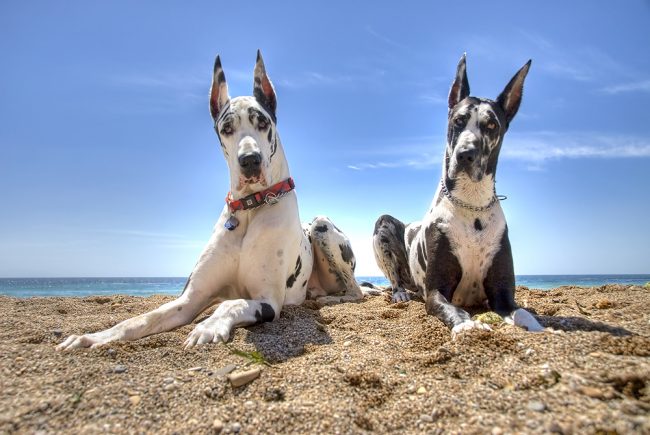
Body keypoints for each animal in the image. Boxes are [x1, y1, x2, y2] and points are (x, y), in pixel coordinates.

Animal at [58, 51, 372, 350]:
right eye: (226, 128)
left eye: (262, 122)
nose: (250, 160)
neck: (249, 209)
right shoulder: (189, 299)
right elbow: (141, 318)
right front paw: (94, 337)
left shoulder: (268, 300)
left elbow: (229, 303)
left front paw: (207, 327)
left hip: (322, 226)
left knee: (357, 291)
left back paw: (329, 300)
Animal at [370, 54, 540, 338]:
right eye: (458, 120)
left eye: (492, 124)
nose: (465, 154)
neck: (472, 205)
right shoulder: (436, 291)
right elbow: (455, 310)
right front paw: (468, 325)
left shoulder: (502, 294)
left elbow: (525, 313)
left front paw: (544, 329)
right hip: (382, 226)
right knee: (395, 278)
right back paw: (399, 294)